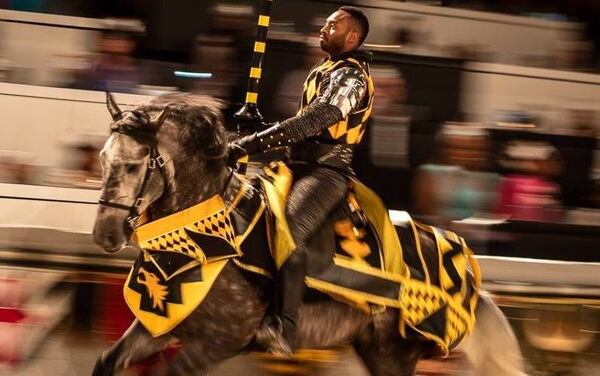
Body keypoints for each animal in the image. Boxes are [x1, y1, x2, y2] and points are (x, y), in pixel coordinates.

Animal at [91, 93, 528, 376]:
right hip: (374, 348)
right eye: (103, 158)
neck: (208, 237)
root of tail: (468, 273)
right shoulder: (160, 325)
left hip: (395, 352)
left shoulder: (218, 343)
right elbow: (105, 363)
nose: (105, 234)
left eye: (133, 166)